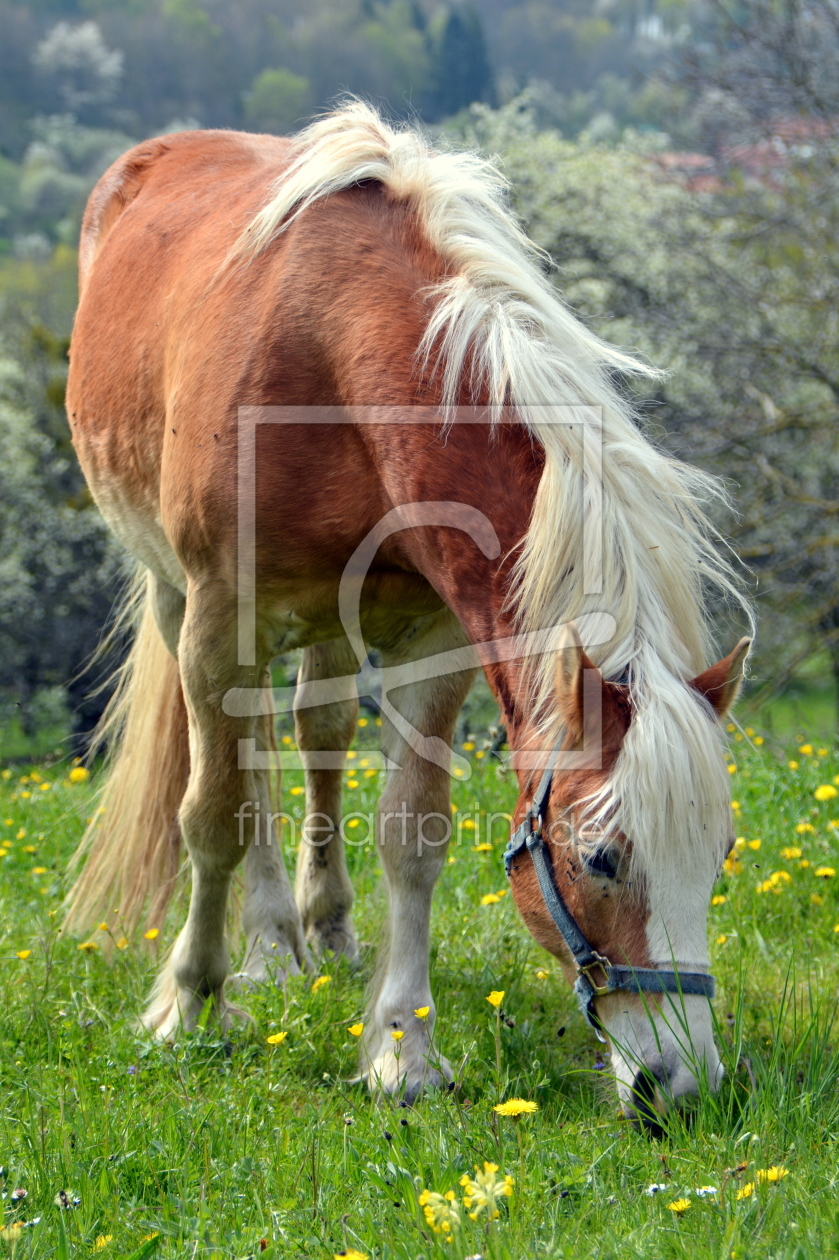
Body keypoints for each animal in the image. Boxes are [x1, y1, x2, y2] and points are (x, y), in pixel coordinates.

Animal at [62, 100, 745, 1123]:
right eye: (601, 860)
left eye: (720, 854)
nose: (683, 1088)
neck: (329, 358)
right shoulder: (221, 619)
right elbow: (212, 815)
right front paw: (188, 1005)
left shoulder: (435, 640)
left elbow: (412, 835)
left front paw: (400, 1050)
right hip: (181, 601)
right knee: (240, 758)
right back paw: (263, 947)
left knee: (314, 733)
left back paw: (319, 932)